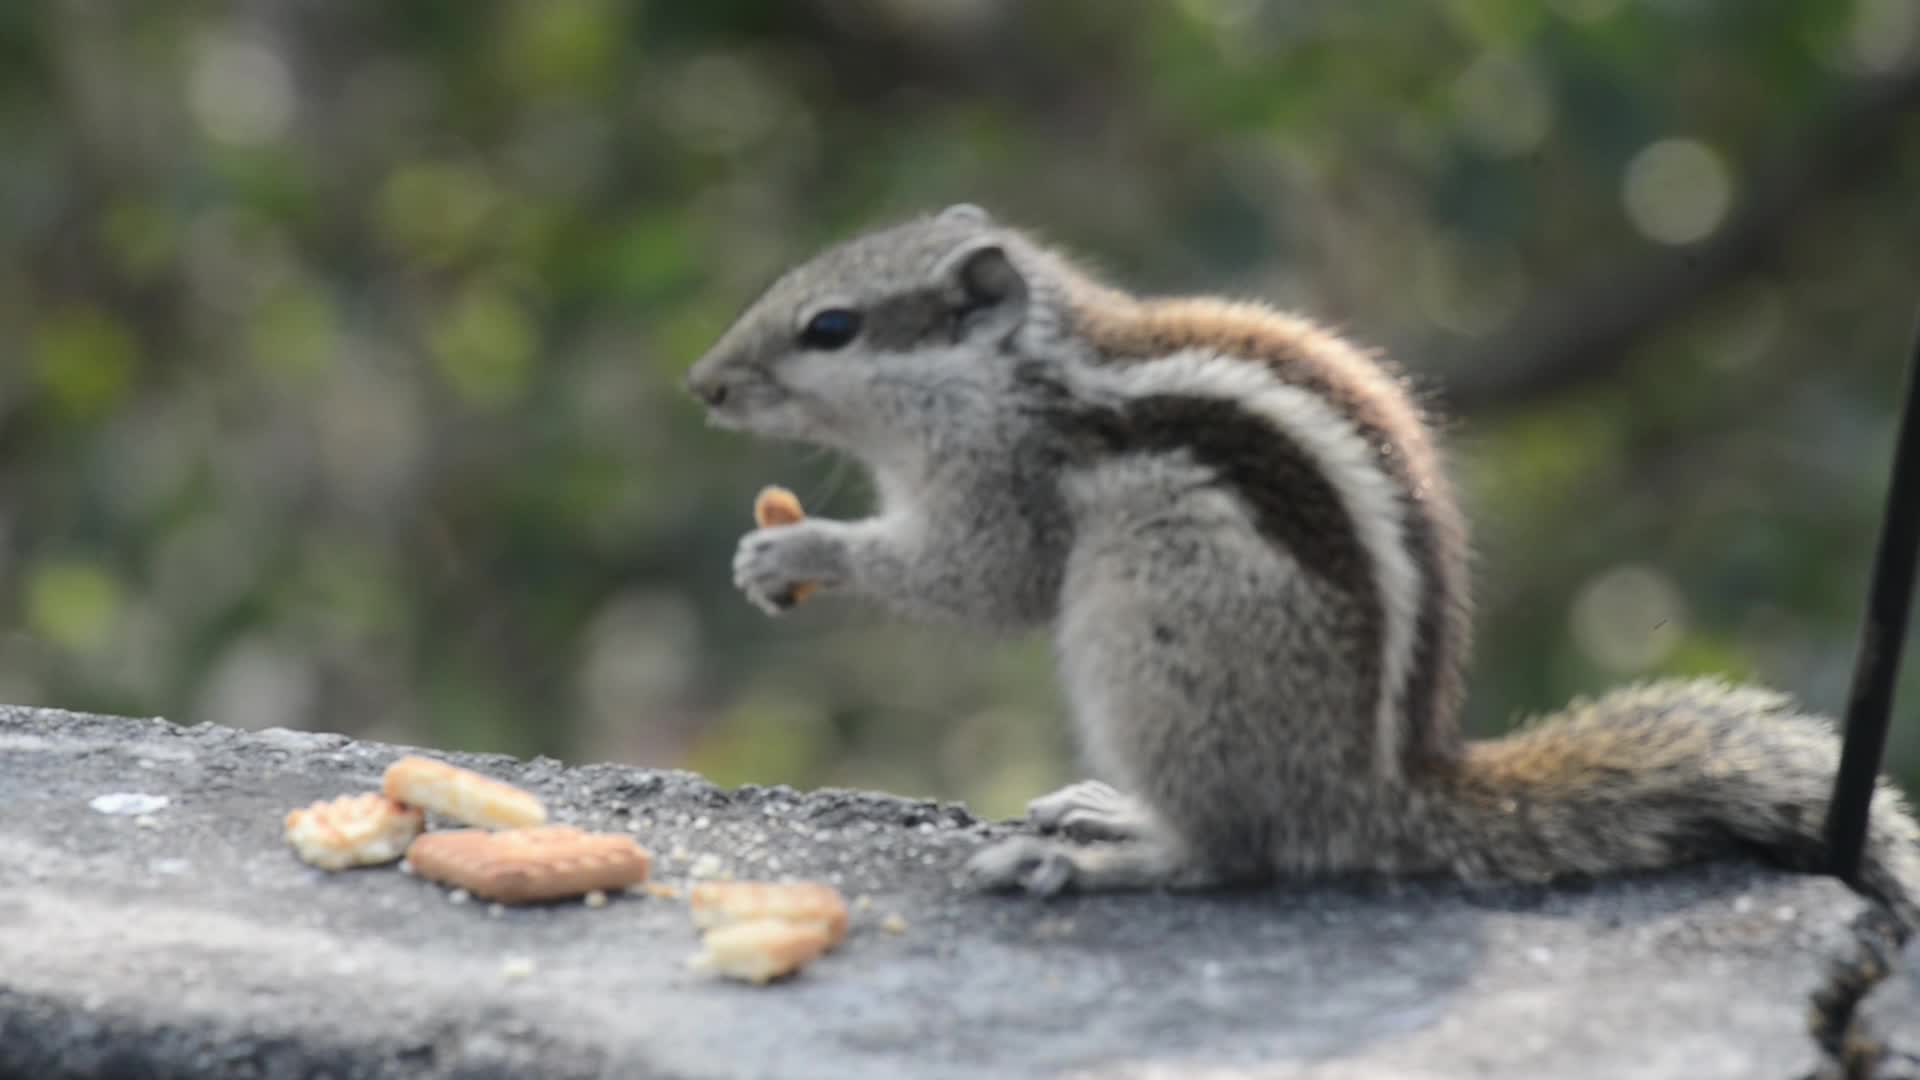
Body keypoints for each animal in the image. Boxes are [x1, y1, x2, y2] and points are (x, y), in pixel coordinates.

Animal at [684, 203, 1920, 929]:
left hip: (1152, 632)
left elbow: (983, 580)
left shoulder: (1007, 482)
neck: (1016, 372)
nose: (703, 386)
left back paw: (1094, 862)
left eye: (832, 328)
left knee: (1235, 857)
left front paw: (794, 548)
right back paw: (1105, 812)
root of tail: (1378, 795)